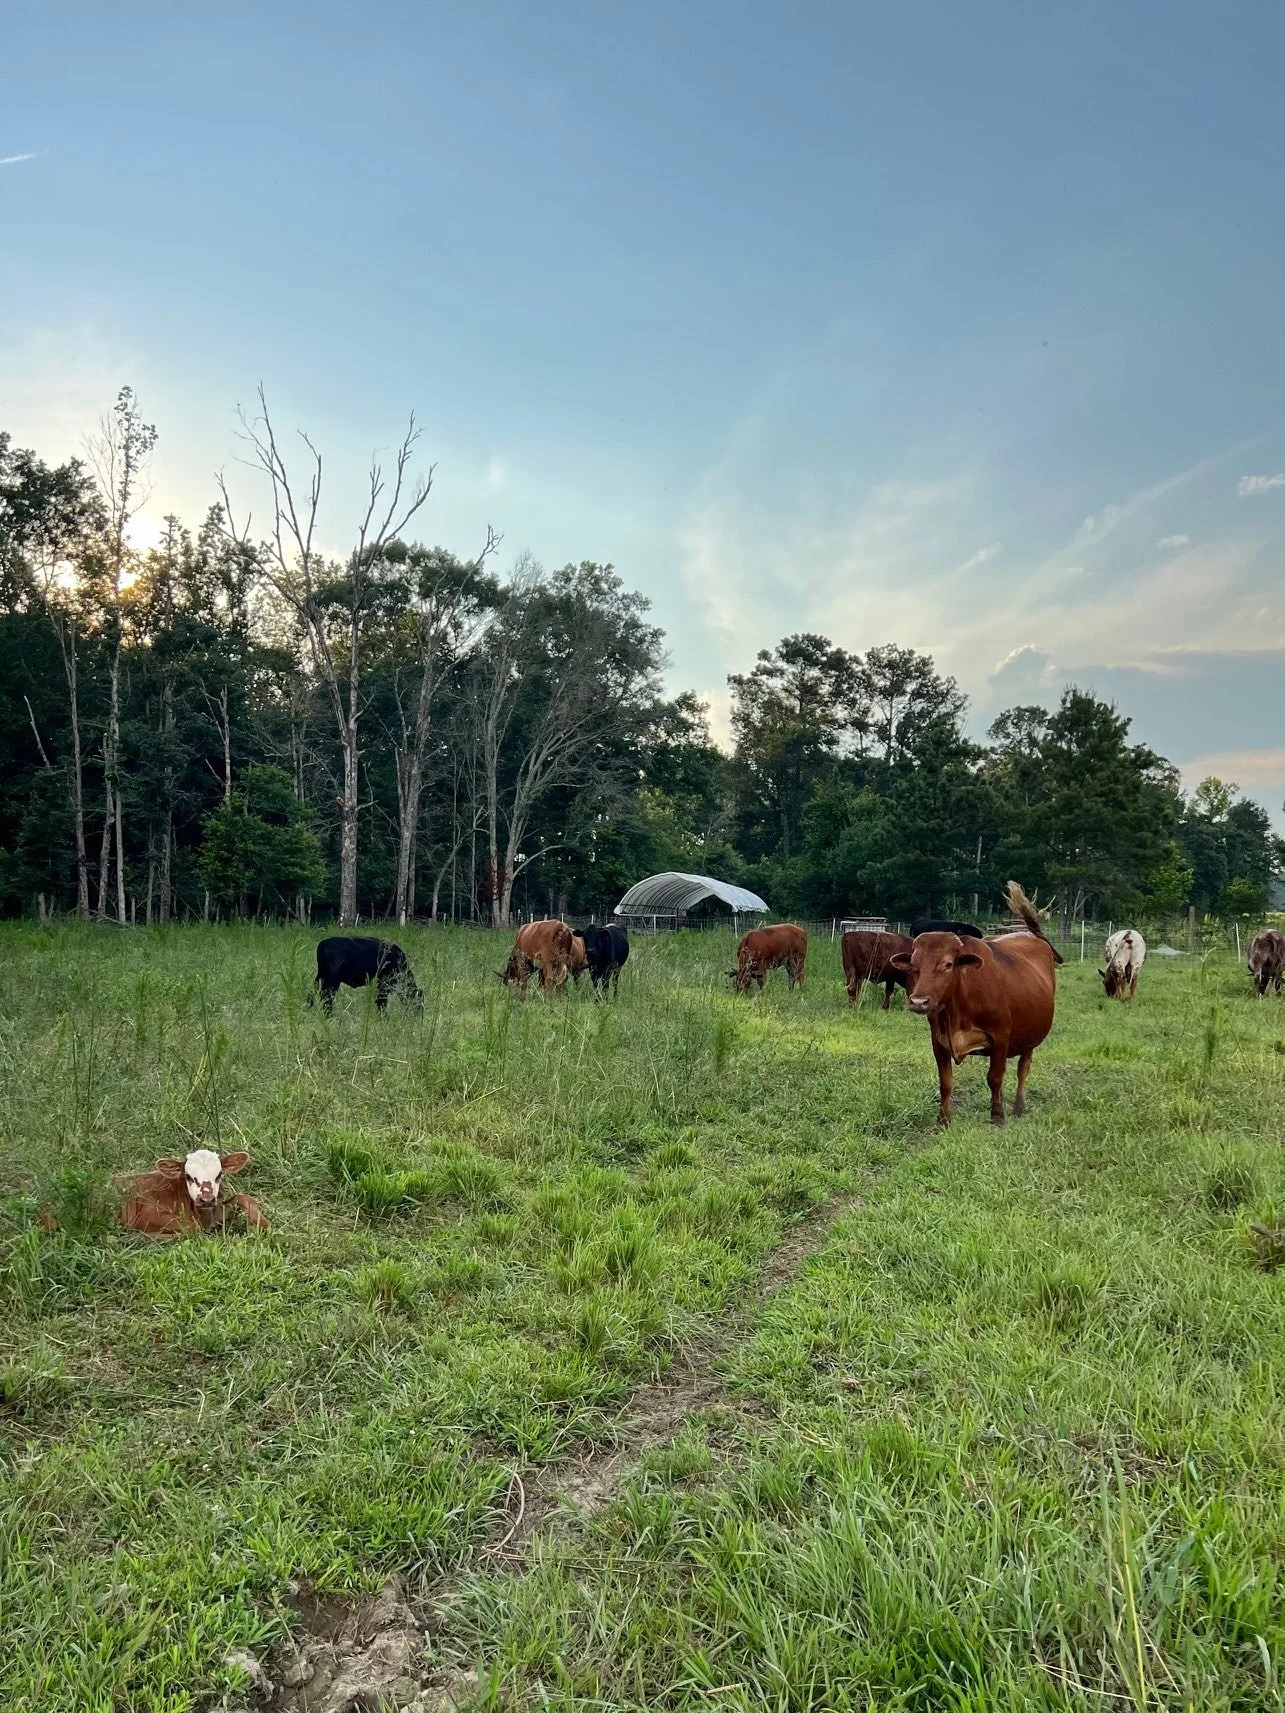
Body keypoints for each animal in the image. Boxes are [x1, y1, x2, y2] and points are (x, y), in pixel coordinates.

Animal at [117, 1148, 269, 1238]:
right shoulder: (144, 1216)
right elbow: (191, 1227)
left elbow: (244, 1197)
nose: (206, 1200)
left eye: (219, 1174)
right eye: (188, 1176)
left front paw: (260, 1225)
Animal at [890, 881, 1061, 1127]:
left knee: (1022, 1069)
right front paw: (943, 1120)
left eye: (948, 964)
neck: (958, 1009)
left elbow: (994, 1078)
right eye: (913, 965)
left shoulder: (1000, 1038)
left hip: (1030, 1039)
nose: (918, 1001)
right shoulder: (938, 1042)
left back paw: (1018, 1107)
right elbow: (946, 1082)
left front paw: (997, 1116)